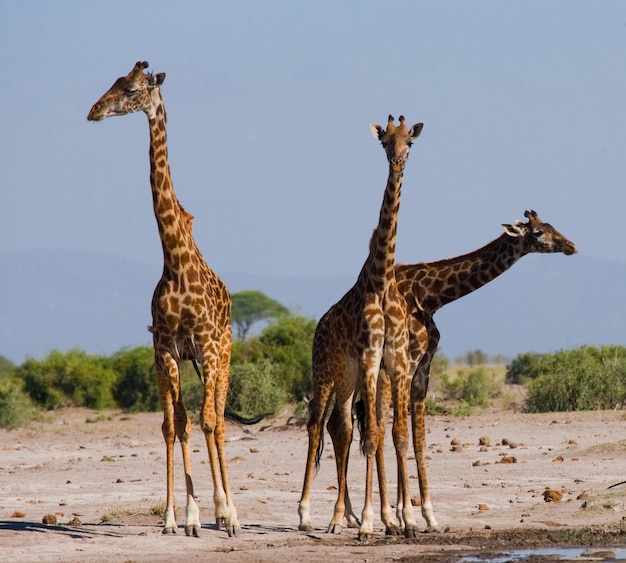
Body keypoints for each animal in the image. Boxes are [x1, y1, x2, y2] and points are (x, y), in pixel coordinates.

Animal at [89, 60, 240, 536]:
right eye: (115, 83)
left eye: (132, 89)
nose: (94, 111)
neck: (174, 262)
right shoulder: (166, 349)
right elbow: (175, 426)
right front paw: (179, 518)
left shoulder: (207, 348)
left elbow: (209, 422)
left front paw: (223, 512)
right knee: (188, 422)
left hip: (224, 355)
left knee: (220, 423)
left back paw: (232, 514)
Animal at [296, 115, 422, 540]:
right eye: (384, 142)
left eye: (409, 143)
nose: (397, 163)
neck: (381, 281)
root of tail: (319, 325)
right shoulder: (370, 356)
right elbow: (371, 439)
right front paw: (370, 523)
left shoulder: (395, 360)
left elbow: (395, 436)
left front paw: (406, 521)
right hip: (327, 372)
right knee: (318, 425)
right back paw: (309, 515)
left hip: (349, 376)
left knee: (342, 428)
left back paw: (340, 517)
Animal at [366, 208, 576, 532]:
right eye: (538, 232)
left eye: (552, 225)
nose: (571, 246)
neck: (430, 296)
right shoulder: (407, 361)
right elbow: (401, 433)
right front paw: (406, 516)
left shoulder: (424, 362)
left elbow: (419, 436)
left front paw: (428, 516)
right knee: (367, 427)